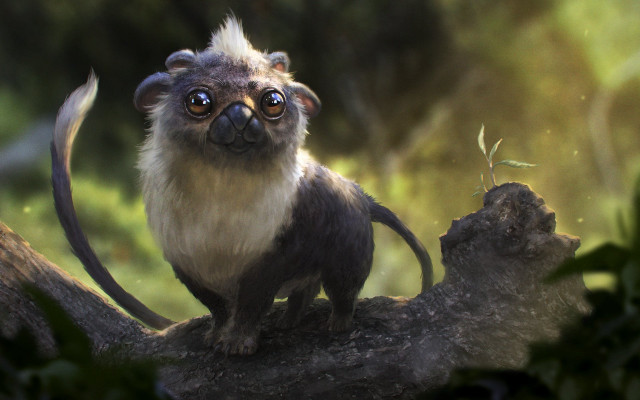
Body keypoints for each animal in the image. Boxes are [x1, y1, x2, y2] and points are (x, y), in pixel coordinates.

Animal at [51, 17, 433, 356]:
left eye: (272, 102)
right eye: (199, 102)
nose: (238, 116)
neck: (222, 186)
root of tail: (361, 195)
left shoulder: (273, 255)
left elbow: (252, 302)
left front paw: (237, 343)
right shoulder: (187, 262)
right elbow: (218, 307)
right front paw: (217, 334)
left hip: (348, 250)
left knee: (342, 288)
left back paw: (339, 322)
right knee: (305, 290)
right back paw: (290, 321)